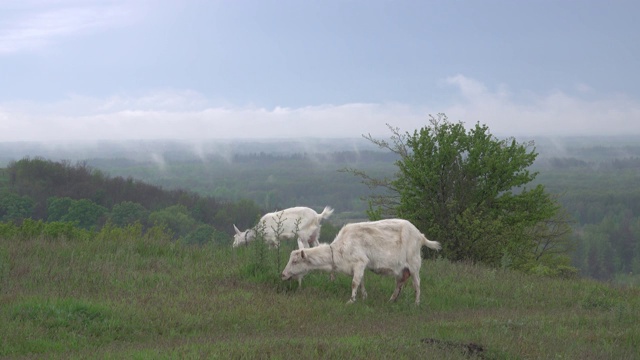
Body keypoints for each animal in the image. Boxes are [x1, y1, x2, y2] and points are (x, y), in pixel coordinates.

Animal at [280, 219, 440, 304]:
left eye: (295, 261)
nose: (283, 275)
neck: (338, 249)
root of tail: (420, 235)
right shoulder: (358, 267)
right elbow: (361, 282)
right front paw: (364, 297)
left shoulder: (360, 262)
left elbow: (354, 283)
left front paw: (351, 301)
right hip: (402, 270)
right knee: (399, 283)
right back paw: (391, 300)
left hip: (414, 263)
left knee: (417, 283)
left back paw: (416, 303)